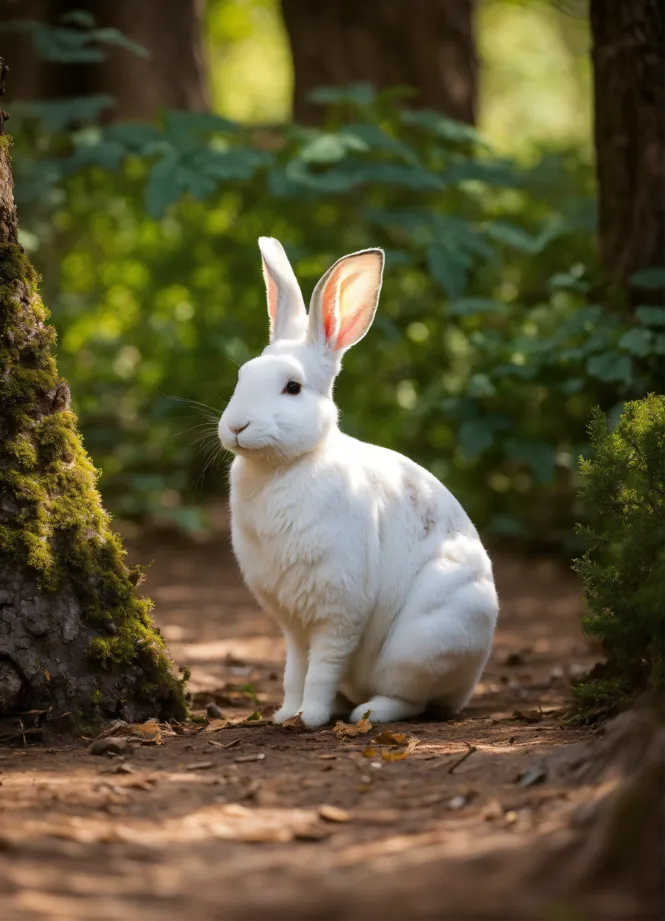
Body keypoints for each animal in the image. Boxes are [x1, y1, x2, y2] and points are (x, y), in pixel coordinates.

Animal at [218, 237, 499, 728]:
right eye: (242, 376)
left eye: (293, 387)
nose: (236, 427)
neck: (285, 466)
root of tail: (468, 685)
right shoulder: (293, 625)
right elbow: (294, 670)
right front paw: (284, 713)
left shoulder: (338, 613)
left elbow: (322, 669)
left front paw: (308, 718)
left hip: (422, 644)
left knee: (411, 699)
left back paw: (367, 711)